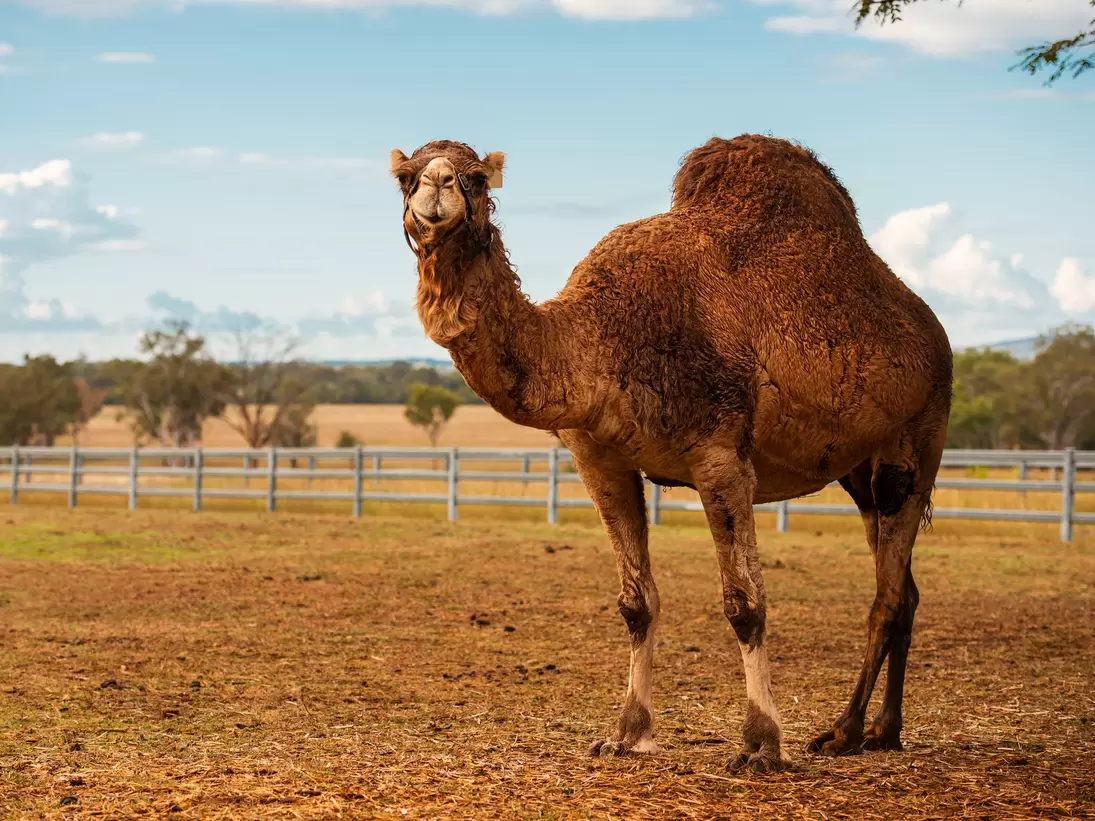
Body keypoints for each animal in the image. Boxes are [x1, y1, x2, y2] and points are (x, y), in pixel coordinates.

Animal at [388, 135, 953, 772]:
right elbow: (637, 603)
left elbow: (745, 604)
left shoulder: (721, 457)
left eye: (478, 178)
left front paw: (760, 743)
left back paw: (845, 730)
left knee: (887, 593)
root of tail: (933, 332)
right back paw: (884, 729)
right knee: (904, 587)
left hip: (919, 436)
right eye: (406, 177)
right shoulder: (600, 460)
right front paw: (627, 733)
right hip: (859, 470)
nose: (437, 187)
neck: (599, 338)